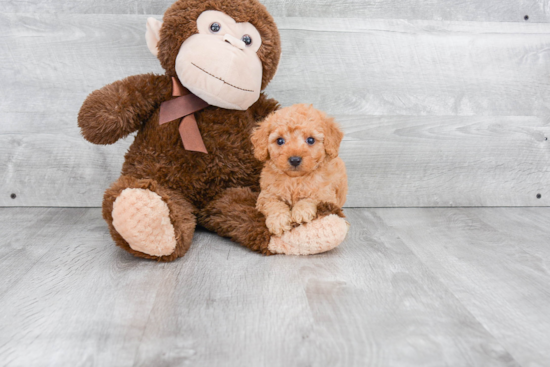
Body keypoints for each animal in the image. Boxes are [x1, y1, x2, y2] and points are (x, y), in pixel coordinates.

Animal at [251, 103, 348, 236]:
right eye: (280, 140)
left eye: (311, 140)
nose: (295, 160)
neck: (295, 179)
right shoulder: (266, 195)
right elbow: (274, 204)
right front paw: (279, 221)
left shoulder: (326, 195)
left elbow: (311, 198)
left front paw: (301, 211)